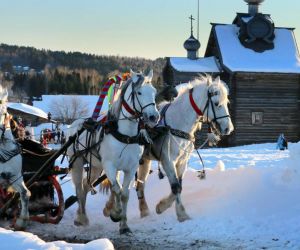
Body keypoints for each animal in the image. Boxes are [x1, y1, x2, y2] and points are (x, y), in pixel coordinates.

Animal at [67, 69, 161, 233]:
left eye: (154, 91)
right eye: (139, 92)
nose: (153, 117)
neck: (125, 135)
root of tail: (74, 124)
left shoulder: (131, 168)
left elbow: (124, 193)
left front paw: (124, 225)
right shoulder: (110, 166)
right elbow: (116, 189)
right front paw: (115, 213)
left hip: (96, 167)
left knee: (85, 186)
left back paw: (83, 217)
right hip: (77, 163)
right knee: (79, 189)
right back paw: (81, 218)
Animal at [134, 75, 234, 221]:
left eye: (226, 102)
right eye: (216, 104)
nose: (228, 128)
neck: (177, 123)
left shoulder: (182, 161)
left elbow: (179, 186)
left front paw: (162, 206)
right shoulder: (168, 161)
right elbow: (175, 187)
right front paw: (181, 213)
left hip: (144, 161)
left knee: (140, 185)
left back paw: (144, 211)